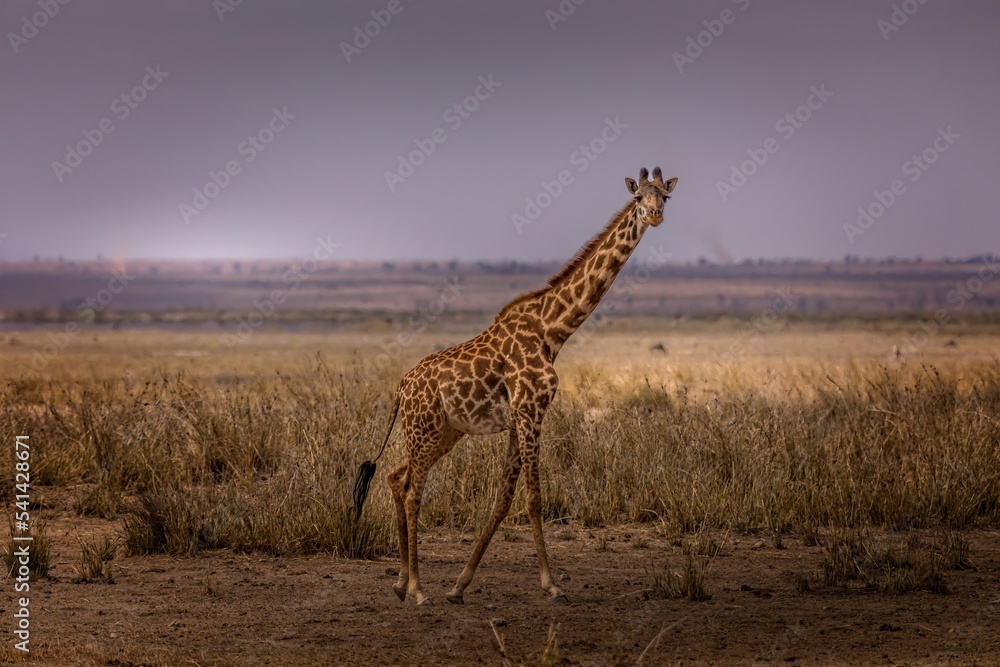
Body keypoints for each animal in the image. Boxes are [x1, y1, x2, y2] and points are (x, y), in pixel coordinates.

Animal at [354, 167, 678, 606]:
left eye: (665, 195)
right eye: (638, 197)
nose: (655, 215)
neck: (552, 330)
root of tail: (401, 388)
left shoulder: (516, 420)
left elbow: (503, 499)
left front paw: (460, 585)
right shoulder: (530, 411)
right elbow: (534, 498)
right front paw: (551, 584)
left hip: (444, 432)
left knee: (394, 478)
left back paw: (402, 583)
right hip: (424, 429)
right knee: (411, 490)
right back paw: (419, 589)